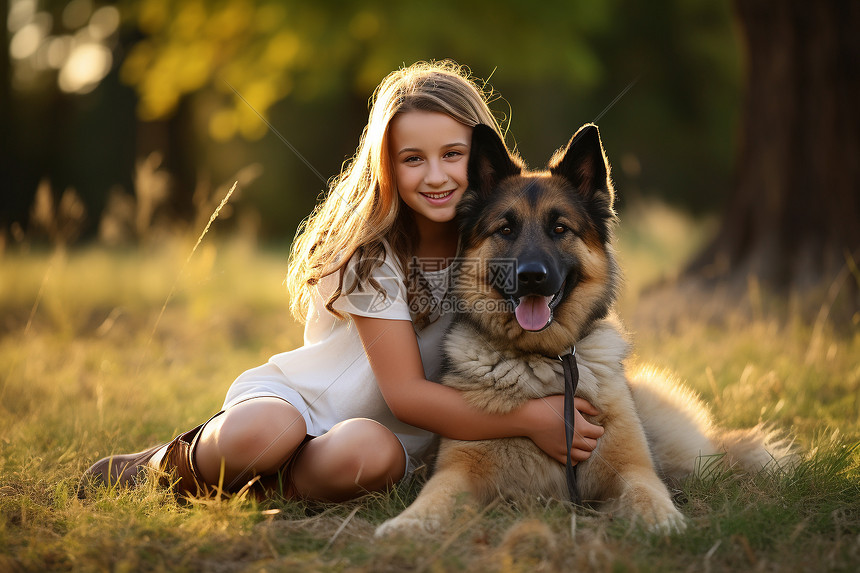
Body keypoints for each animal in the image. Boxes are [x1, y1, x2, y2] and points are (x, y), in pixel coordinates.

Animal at [376, 123, 792, 536]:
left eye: (560, 228)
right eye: (506, 229)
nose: (531, 277)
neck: (546, 360)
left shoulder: (631, 466)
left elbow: (648, 492)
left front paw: (666, 522)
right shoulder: (459, 468)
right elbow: (436, 494)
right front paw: (407, 523)